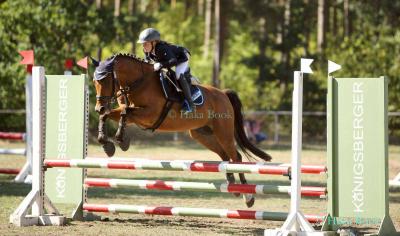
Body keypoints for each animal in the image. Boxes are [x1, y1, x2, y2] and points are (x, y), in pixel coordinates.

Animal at [90, 53, 272, 206]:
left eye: (105, 80)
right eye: (94, 82)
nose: (98, 107)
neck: (139, 82)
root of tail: (223, 94)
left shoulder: (149, 114)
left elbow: (125, 113)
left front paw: (121, 140)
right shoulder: (130, 113)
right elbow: (109, 115)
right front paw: (107, 144)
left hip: (223, 133)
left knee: (236, 157)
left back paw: (248, 196)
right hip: (203, 135)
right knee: (225, 156)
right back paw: (232, 186)